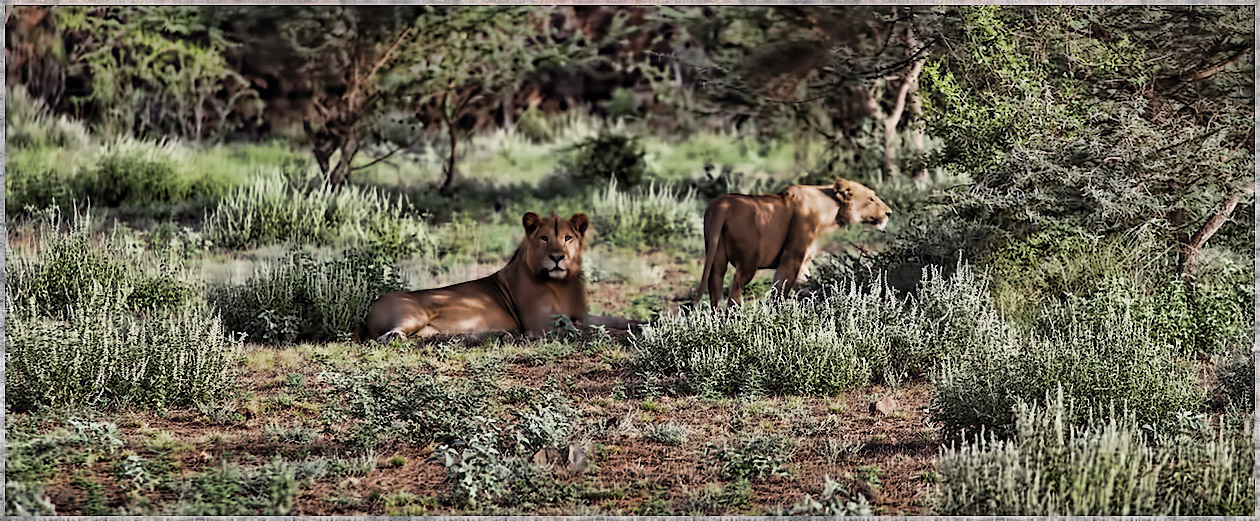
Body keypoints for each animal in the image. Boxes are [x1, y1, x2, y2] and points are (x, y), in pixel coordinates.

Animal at [355, 209, 635, 343]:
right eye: (544, 238)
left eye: (568, 238)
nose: (557, 257)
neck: (562, 283)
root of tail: (370, 308)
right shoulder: (540, 326)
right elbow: (589, 329)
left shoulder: (580, 314)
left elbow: (616, 320)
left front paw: (642, 323)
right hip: (415, 314)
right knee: (388, 337)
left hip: (431, 329)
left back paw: (496, 335)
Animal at [695, 179, 892, 309]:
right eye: (871, 198)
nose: (889, 212)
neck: (830, 208)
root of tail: (722, 205)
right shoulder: (792, 256)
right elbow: (780, 290)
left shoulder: (805, 263)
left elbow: (805, 288)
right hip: (748, 262)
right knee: (734, 292)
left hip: (717, 258)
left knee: (715, 289)